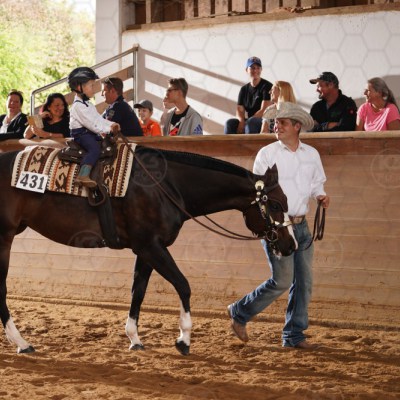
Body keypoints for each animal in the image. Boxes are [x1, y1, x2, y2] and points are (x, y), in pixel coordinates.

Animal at [0, 145, 296, 355]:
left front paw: (134, 338)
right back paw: (22, 342)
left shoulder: (145, 250)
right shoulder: (151, 246)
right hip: (4, 239)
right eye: (276, 204)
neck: (164, 184)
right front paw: (184, 339)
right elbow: (183, 285)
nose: (290, 245)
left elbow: (138, 292)